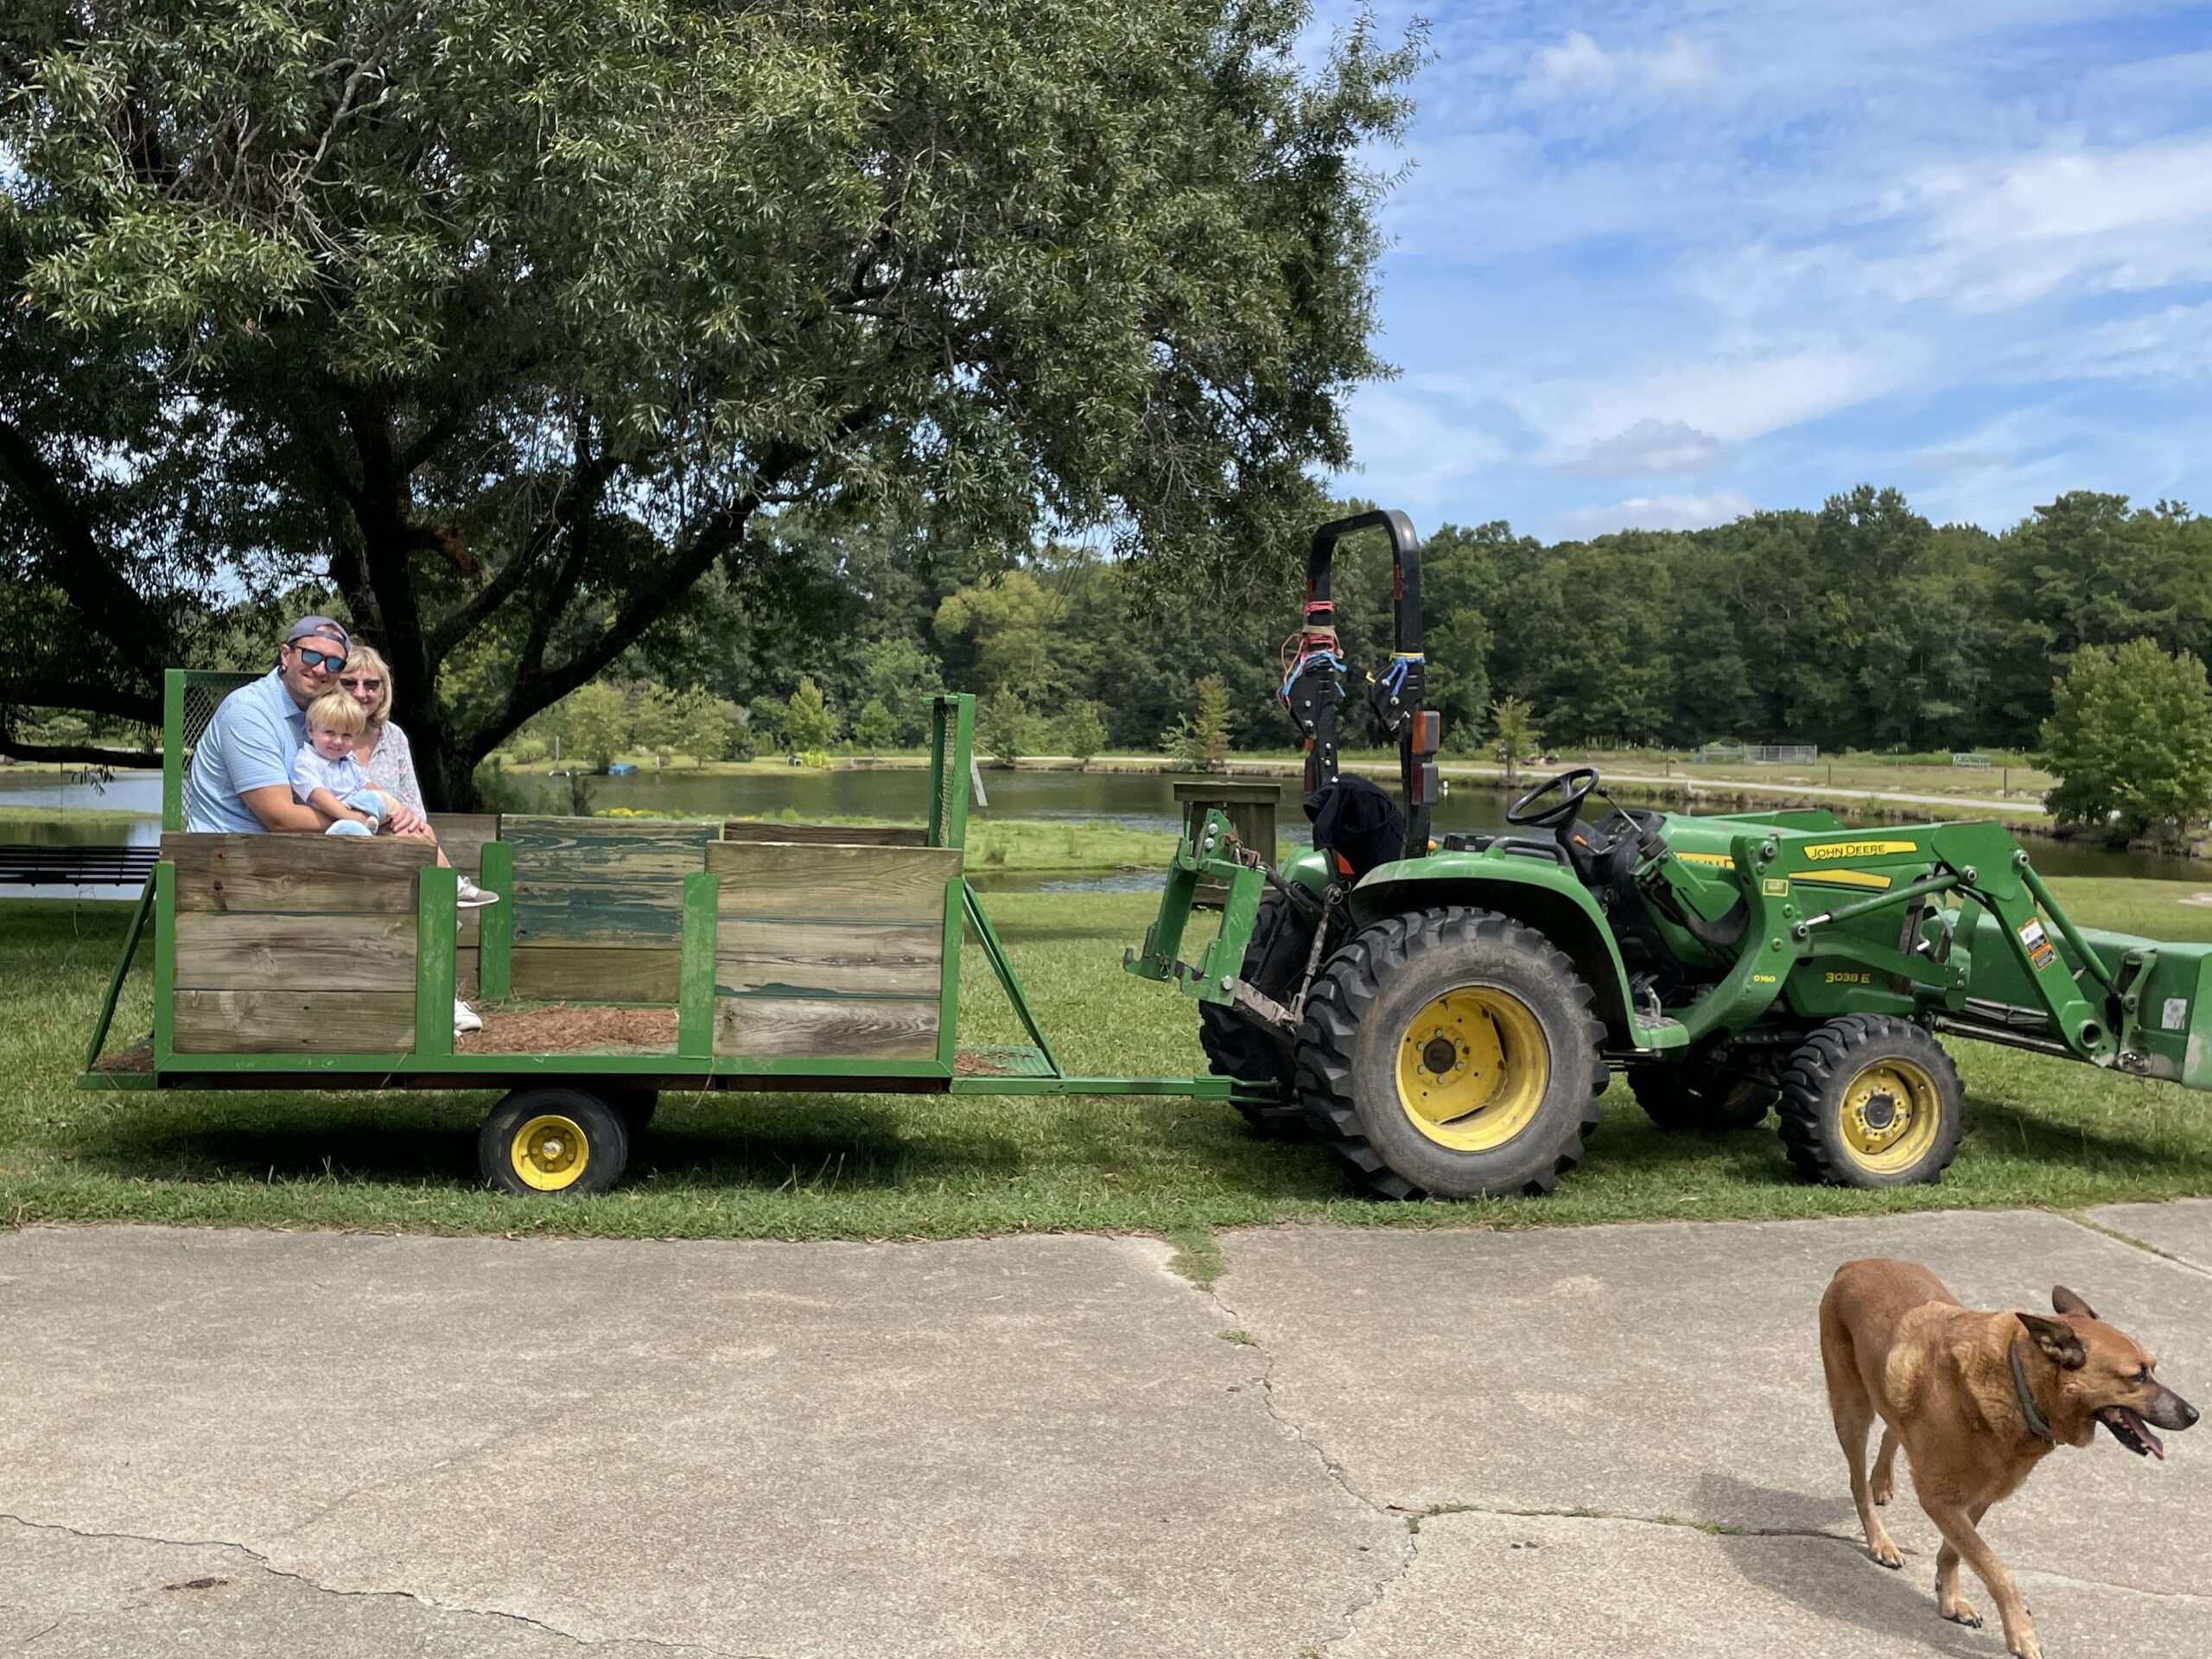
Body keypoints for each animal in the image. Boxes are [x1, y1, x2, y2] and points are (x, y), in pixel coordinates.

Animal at [1814, 1265, 2194, 1654]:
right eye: (2138, 1375)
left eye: (2153, 1368)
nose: (2194, 1415)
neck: (2018, 1386)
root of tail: (1853, 1265)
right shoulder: (1942, 1501)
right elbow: (1995, 1569)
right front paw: (2021, 1633)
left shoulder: (1981, 1498)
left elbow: (1955, 1555)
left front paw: (1950, 1600)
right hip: (1851, 1410)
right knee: (1857, 1481)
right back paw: (1880, 1538)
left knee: (1893, 1427)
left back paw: (1882, 1482)